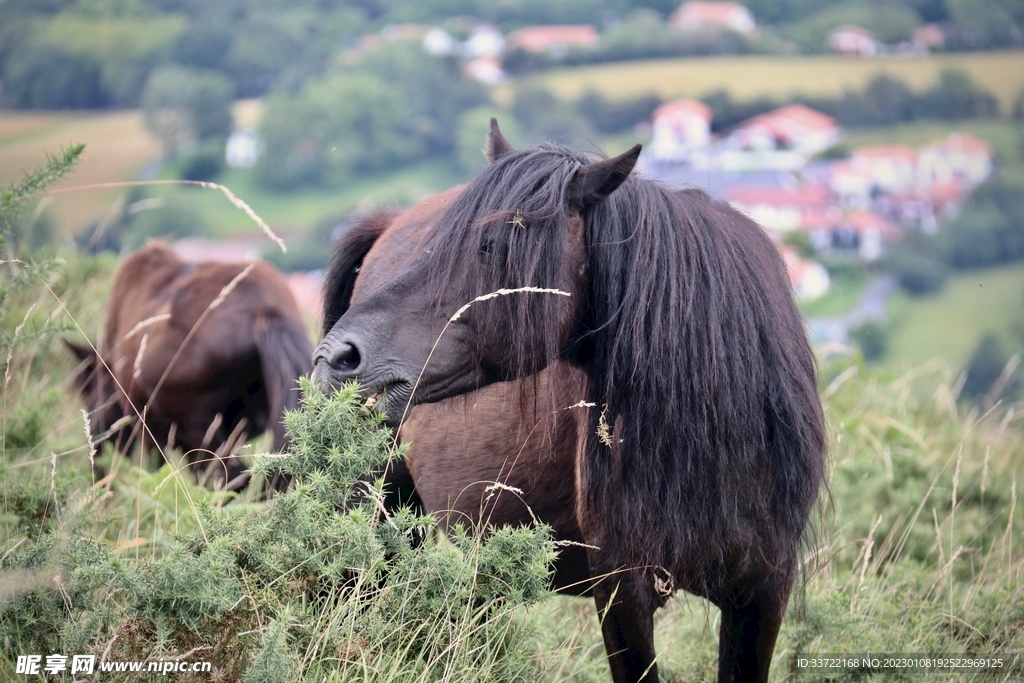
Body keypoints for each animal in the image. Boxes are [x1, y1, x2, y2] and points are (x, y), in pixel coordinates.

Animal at [66, 241, 312, 490]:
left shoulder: (150, 429)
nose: (96, 453)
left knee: (230, 476)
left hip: (196, 429)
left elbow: (154, 469)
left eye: (87, 392)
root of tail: (262, 312)